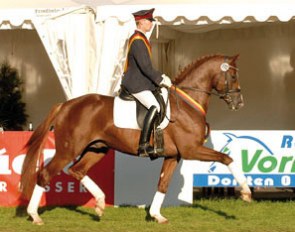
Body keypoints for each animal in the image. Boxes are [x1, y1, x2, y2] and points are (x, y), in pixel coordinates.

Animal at [20, 54, 252, 225]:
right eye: (232, 76)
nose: (239, 102)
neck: (187, 103)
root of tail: (65, 105)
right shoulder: (191, 150)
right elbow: (227, 158)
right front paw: (246, 192)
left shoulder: (174, 156)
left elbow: (163, 184)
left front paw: (157, 215)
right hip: (68, 149)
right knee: (45, 174)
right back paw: (35, 216)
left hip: (97, 149)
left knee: (77, 170)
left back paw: (100, 204)